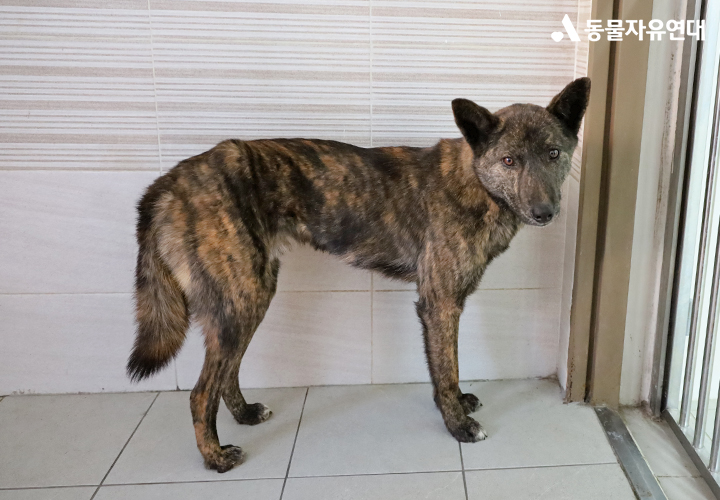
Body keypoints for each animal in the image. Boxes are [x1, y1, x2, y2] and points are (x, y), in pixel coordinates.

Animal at [127, 77, 590, 472]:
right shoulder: (439, 305)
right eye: (509, 160)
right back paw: (216, 457)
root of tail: (168, 183)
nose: (545, 213)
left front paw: (459, 404)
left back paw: (244, 414)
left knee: (226, 373)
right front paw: (457, 423)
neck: (477, 183)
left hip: (249, 298)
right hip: (241, 300)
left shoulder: (442, 306)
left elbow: (449, 367)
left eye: (553, 154)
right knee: (200, 392)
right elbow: (447, 369)